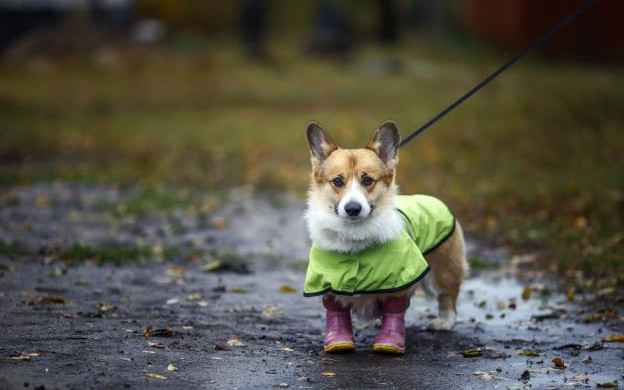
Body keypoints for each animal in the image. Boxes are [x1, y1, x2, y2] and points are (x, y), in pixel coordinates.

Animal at [302, 120, 468, 354]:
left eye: (367, 180)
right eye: (337, 181)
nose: (353, 209)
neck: (355, 236)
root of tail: (433, 198)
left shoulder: (399, 282)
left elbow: (394, 311)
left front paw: (389, 341)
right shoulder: (329, 284)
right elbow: (336, 312)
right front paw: (338, 340)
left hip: (443, 270)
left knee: (449, 294)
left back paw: (444, 321)